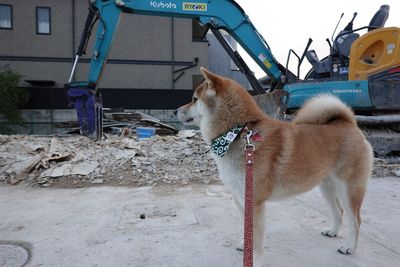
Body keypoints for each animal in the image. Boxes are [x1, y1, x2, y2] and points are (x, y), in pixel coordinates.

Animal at [177, 67, 374, 266]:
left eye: (194, 99)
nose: (176, 110)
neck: (237, 133)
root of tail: (349, 123)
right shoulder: (241, 199)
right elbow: (247, 229)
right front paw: (245, 245)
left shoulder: (255, 203)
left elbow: (257, 237)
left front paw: (255, 259)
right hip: (326, 186)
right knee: (338, 211)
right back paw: (333, 232)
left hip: (349, 189)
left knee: (355, 220)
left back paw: (349, 247)